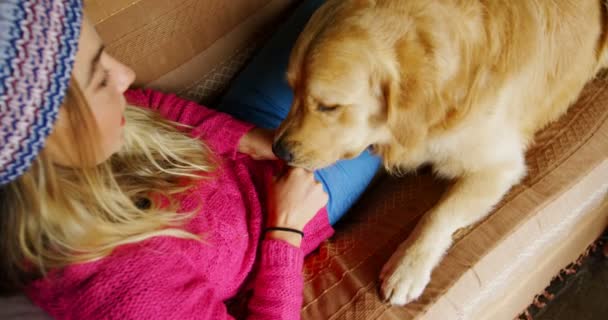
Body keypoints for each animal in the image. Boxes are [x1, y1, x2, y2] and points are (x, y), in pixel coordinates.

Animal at [274, 0, 608, 304]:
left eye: (328, 106)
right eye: (291, 89)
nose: (278, 149)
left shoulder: (499, 165)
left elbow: (438, 213)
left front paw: (407, 268)